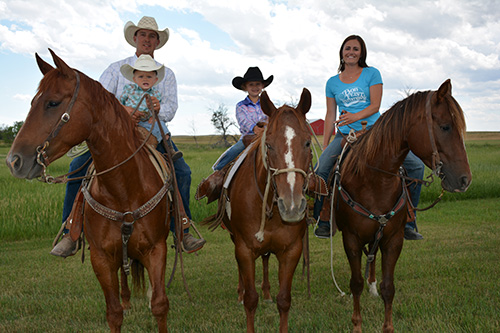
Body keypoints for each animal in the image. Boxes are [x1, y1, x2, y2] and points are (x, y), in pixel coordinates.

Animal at [4, 50, 174, 332]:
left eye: (52, 103)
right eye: (32, 102)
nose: (13, 161)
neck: (124, 189)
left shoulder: (156, 249)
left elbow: (160, 304)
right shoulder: (101, 258)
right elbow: (114, 312)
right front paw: (122, 306)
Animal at [210, 89, 312, 332]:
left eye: (307, 143)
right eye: (269, 145)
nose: (292, 206)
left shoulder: (292, 251)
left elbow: (284, 300)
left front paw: (271, 296)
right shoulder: (245, 249)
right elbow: (250, 300)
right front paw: (245, 297)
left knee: (265, 259)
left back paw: (266, 293)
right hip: (234, 239)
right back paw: (240, 293)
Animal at [330, 79, 470, 330]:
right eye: (445, 127)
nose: (465, 180)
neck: (374, 179)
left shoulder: (393, 240)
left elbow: (389, 287)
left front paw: (388, 326)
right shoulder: (351, 239)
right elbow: (355, 283)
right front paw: (357, 324)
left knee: (373, 257)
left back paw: (372, 286)